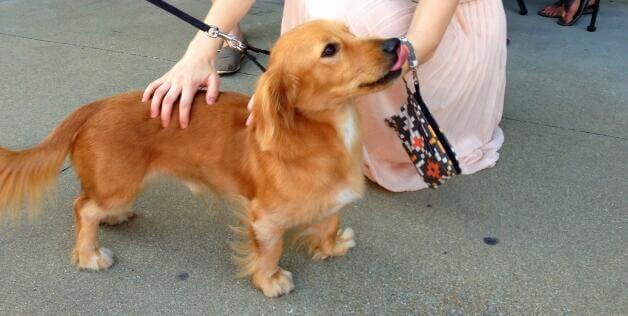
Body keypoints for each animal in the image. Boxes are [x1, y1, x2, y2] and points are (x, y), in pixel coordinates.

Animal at [0, 21, 408, 298]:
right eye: (329, 50)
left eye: (352, 31)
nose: (395, 43)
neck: (320, 133)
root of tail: (95, 106)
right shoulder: (265, 218)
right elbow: (271, 251)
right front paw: (270, 280)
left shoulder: (330, 201)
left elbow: (328, 223)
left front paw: (332, 246)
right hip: (116, 186)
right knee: (83, 208)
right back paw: (90, 255)